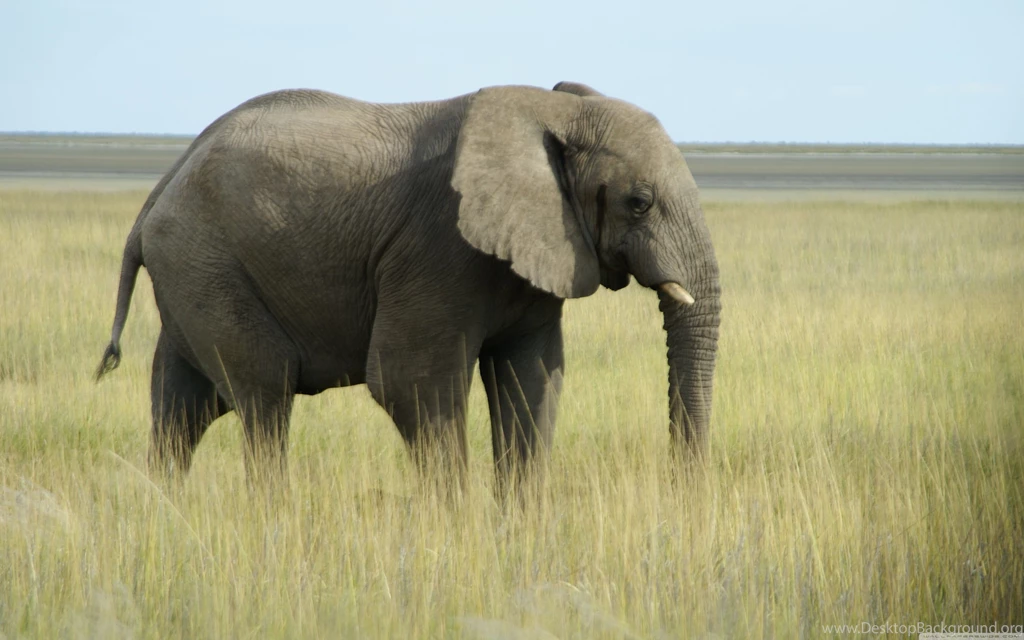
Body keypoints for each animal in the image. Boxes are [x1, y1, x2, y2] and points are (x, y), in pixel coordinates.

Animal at [95, 81, 721, 494]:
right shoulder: (437, 248)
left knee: (182, 406)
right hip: (206, 265)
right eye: (639, 202)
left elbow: (534, 378)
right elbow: (412, 384)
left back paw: (164, 512)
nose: (681, 490)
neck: (553, 108)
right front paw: (458, 534)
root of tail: (156, 194)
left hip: (192, 275)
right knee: (264, 393)